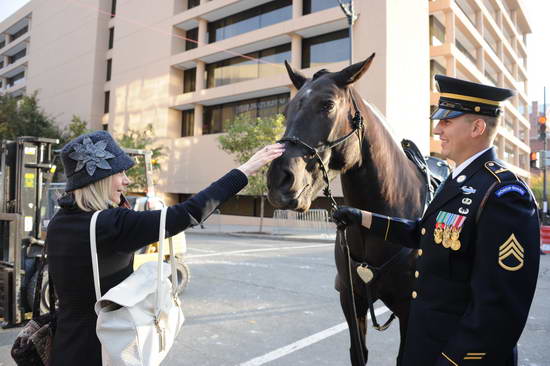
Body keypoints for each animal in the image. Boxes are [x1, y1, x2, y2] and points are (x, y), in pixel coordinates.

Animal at [270, 55, 430, 366]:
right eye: (286, 109)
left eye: (327, 105)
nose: (278, 180)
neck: (381, 221)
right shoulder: (351, 299)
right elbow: (358, 353)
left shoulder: (409, 308)